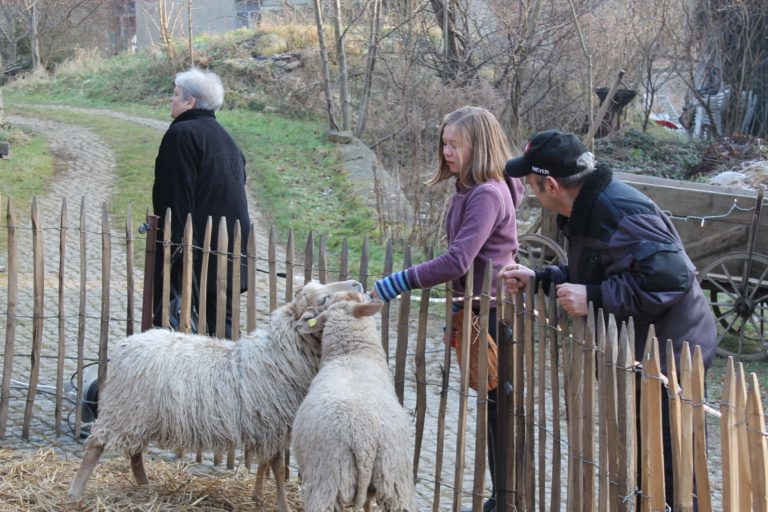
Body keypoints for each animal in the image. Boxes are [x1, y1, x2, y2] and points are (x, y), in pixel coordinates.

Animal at [68, 280, 364, 512]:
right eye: (323, 299)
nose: (358, 284)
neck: (279, 355)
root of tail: (125, 346)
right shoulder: (273, 423)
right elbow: (278, 468)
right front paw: (282, 505)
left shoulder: (267, 424)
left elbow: (265, 464)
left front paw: (257, 496)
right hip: (124, 410)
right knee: (96, 445)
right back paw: (76, 493)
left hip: (140, 414)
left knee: (134, 452)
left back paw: (144, 487)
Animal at [292, 292, 416, 512]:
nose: (368, 292)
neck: (351, 354)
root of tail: (364, 442)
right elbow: (367, 503)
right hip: (395, 478)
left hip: (329, 479)